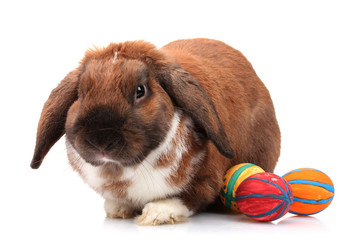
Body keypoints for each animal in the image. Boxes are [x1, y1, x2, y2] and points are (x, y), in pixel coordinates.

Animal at [31, 38, 282, 225]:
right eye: (82, 93)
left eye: (140, 90)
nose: (101, 140)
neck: (123, 171)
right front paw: (118, 209)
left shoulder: (208, 180)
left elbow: (191, 198)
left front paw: (157, 213)